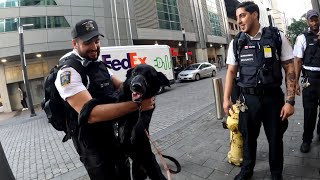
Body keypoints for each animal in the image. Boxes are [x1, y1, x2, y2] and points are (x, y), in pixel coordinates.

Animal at [54, 19, 155, 179]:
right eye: (135, 73)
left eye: (148, 76)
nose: (136, 86)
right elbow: (93, 102)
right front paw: (83, 112)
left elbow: (141, 120)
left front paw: (134, 131)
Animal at [222, 1, 296, 180]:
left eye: (242, 15)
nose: (239, 22)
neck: (254, 35)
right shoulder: (233, 51)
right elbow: (232, 69)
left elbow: (289, 66)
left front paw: (289, 106)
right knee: (248, 137)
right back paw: (245, 171)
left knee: (275, 136)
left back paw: (276, 172)